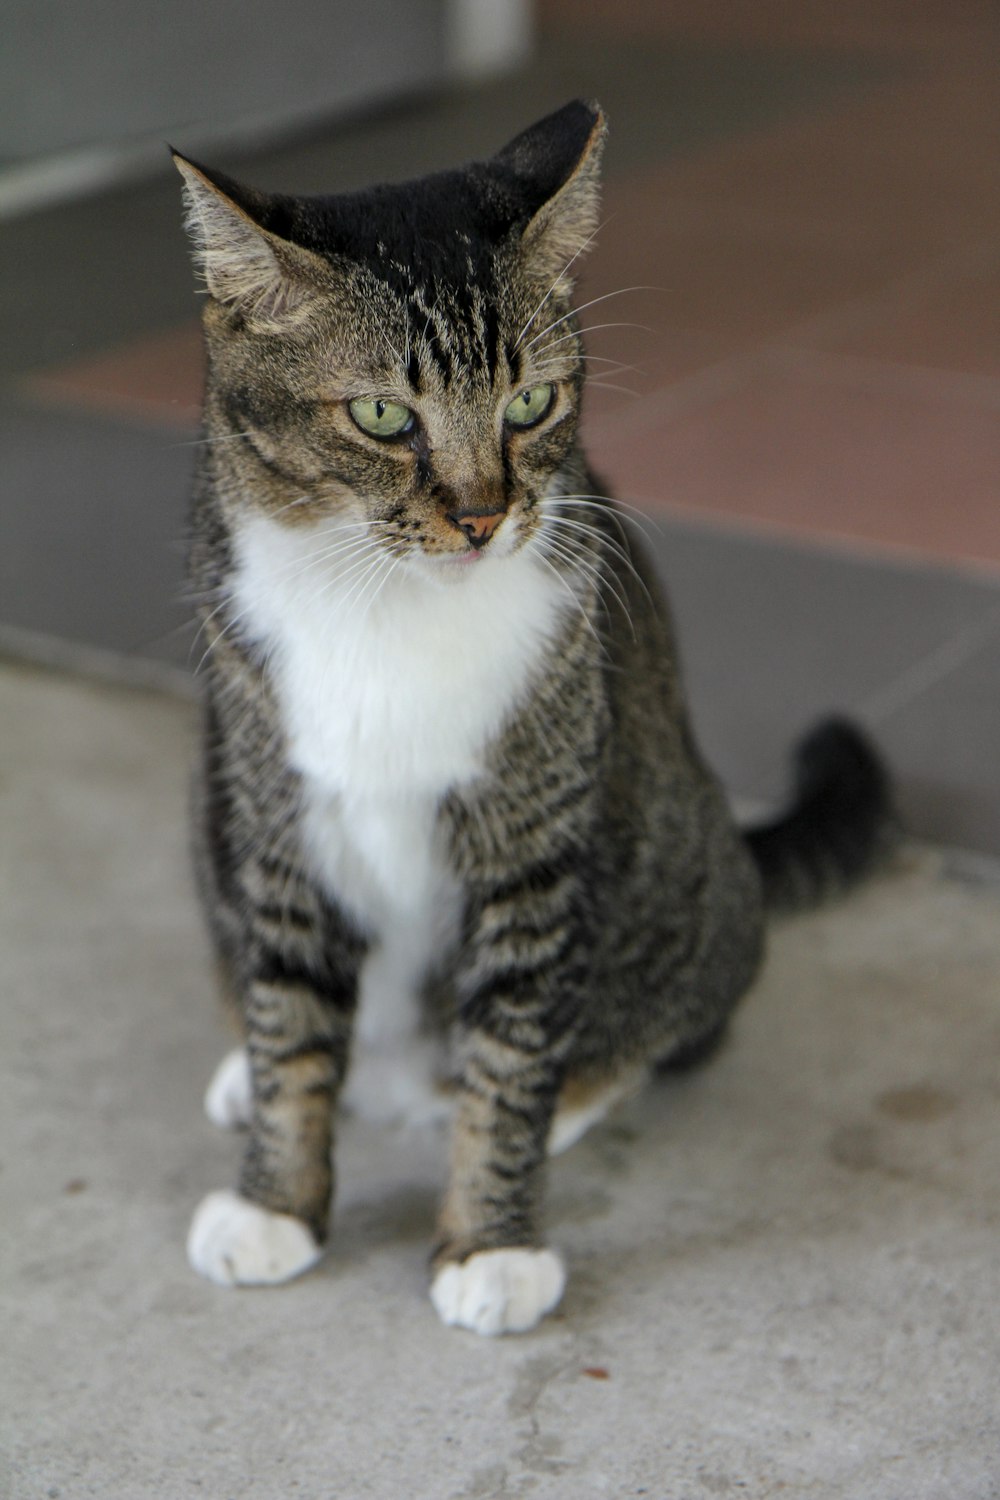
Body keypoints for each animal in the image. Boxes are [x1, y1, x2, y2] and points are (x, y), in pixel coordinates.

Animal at [173, 102, 893, 1338]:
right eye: (382, 414)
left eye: (529, 403)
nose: (480, 516)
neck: (386, 603)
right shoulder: (274, 818)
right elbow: (290, 1018)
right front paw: (274, 1200)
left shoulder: (533, 843)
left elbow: (511, 1049)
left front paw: (491, 1242)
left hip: (677, 874)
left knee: (665, 1026)